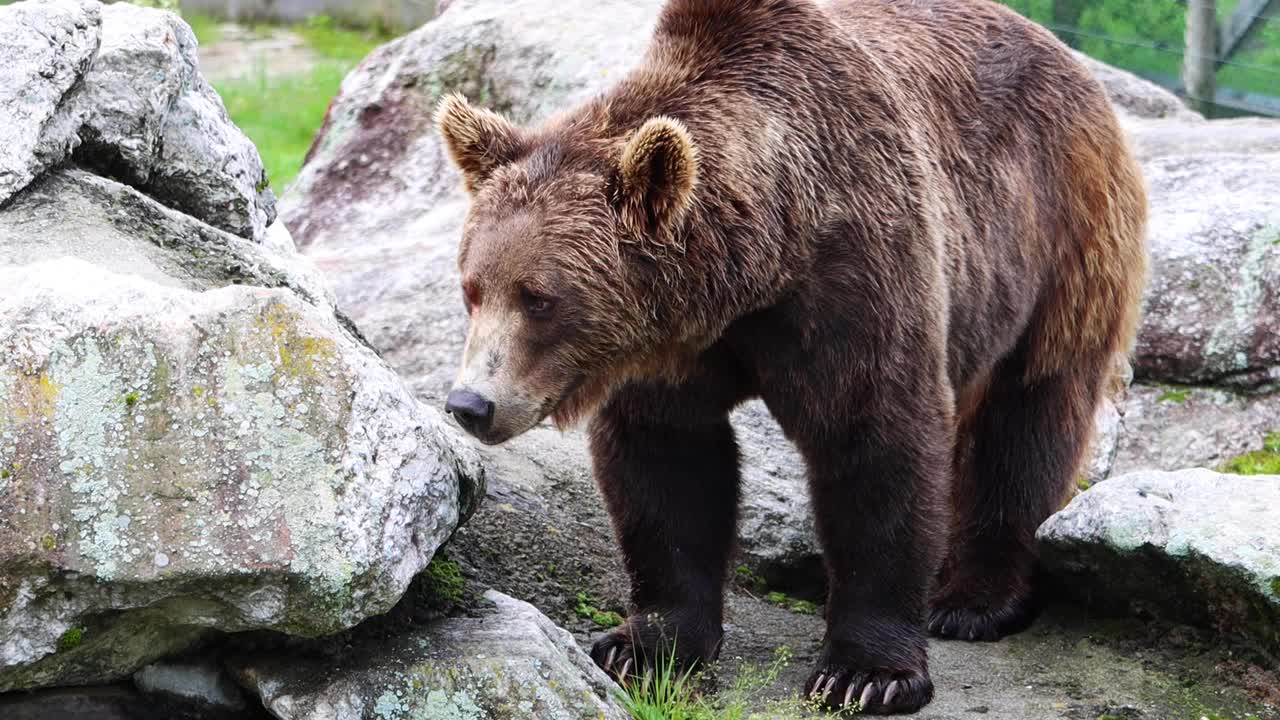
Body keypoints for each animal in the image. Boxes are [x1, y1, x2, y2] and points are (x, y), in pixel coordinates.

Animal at [435, 0, 1146, 707]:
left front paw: (865, 674)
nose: (470, 403)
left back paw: (973, 599)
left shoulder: (857, 276)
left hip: (1059, 236)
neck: (759, 265)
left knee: (1028, 413)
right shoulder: (668, 347)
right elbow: (668, 467)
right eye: (472, 288)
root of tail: (1068, 58)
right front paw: (645, 644)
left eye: (539, 298)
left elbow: (876, 444)